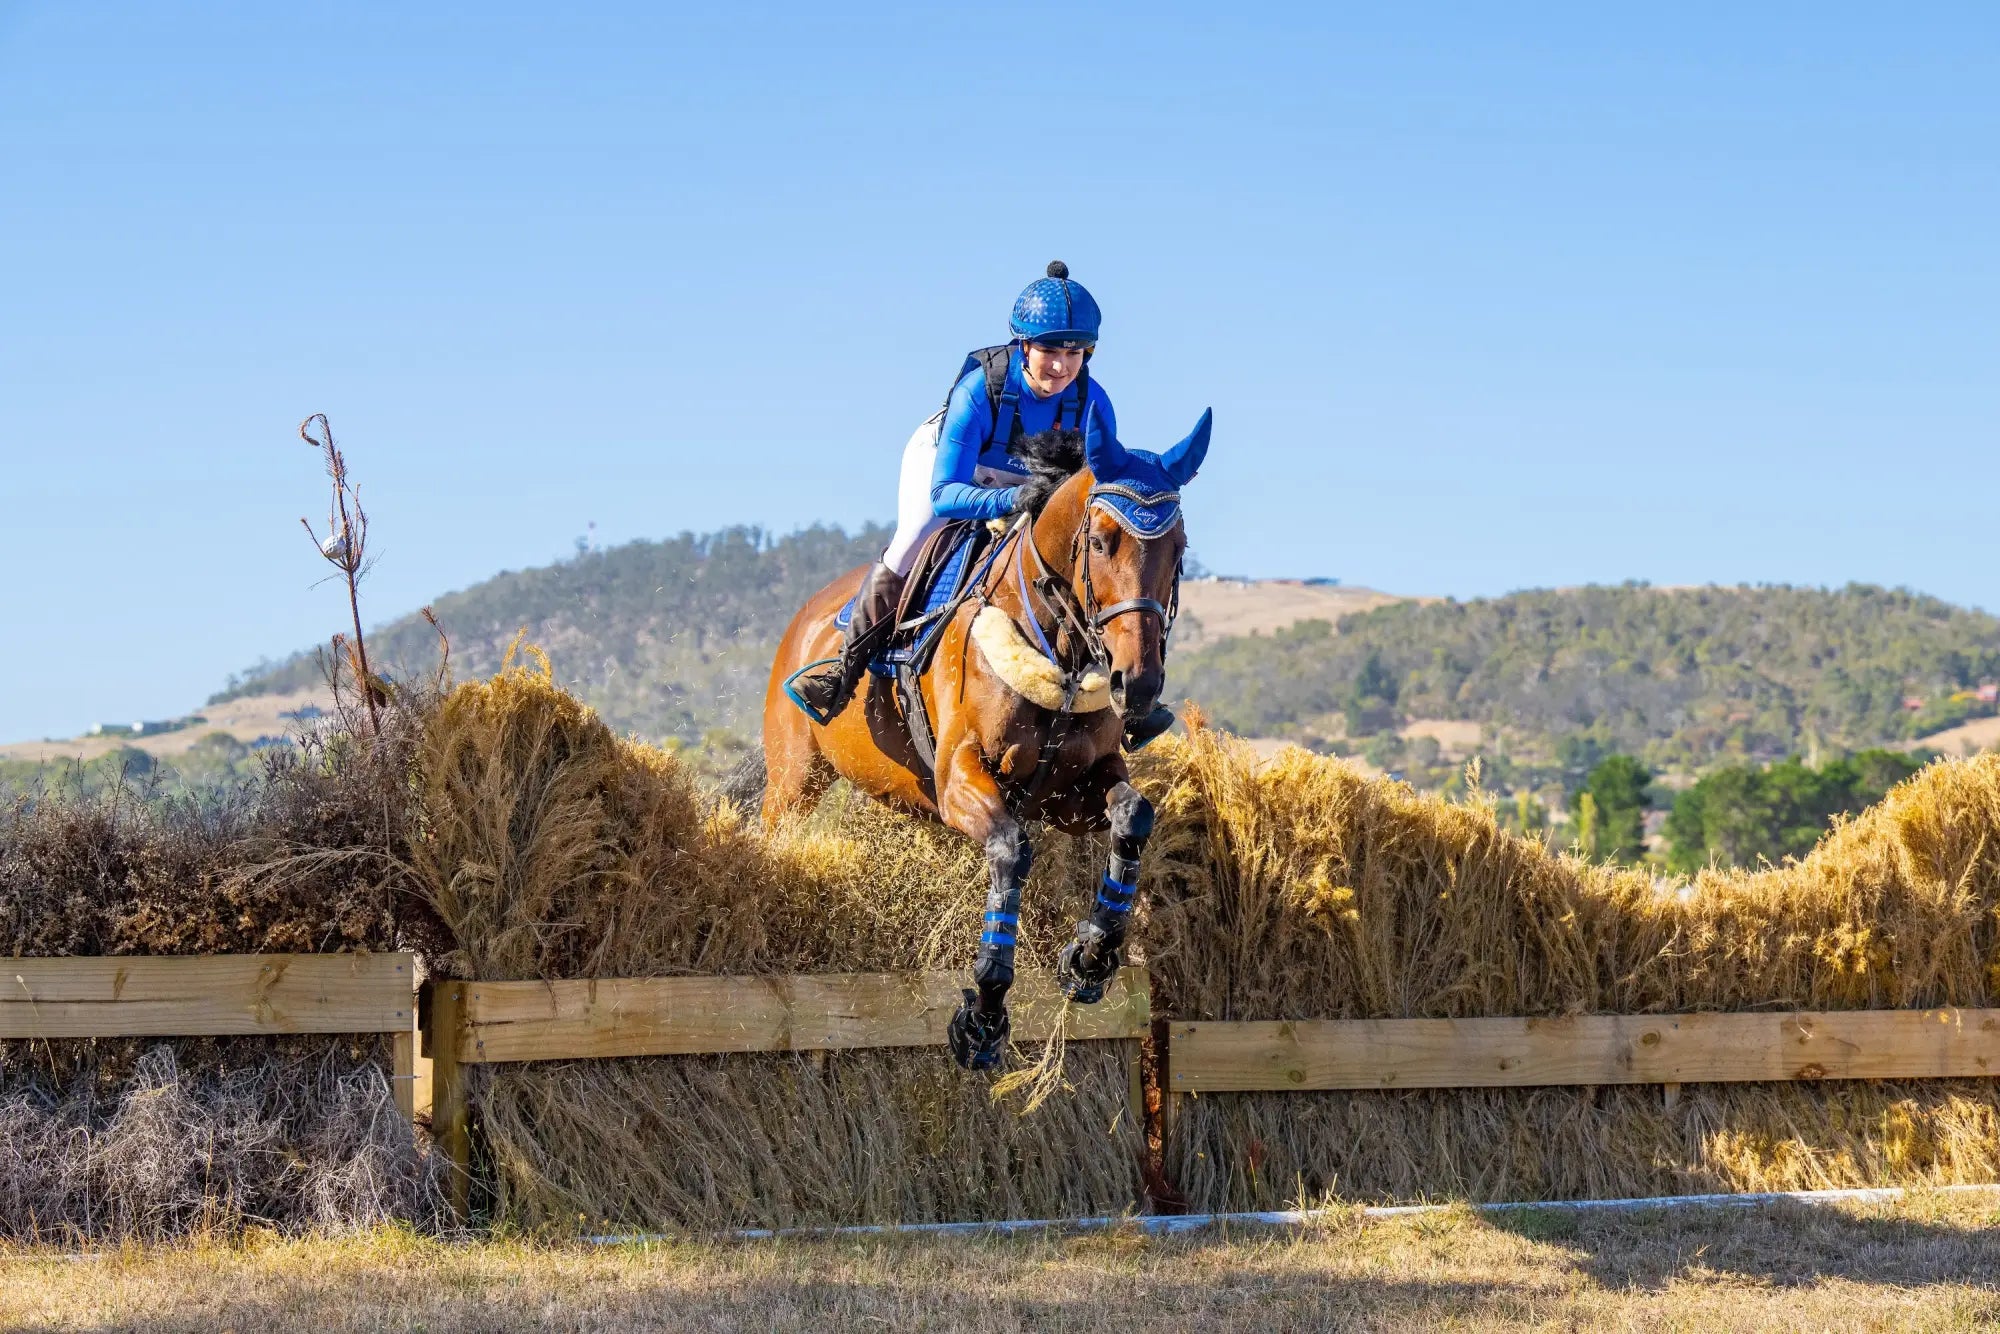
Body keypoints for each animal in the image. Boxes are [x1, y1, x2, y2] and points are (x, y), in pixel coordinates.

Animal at [752, 405, 1211, 1068]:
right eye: (1102, 541)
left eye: (1179, 549)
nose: (1138, 683)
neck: (1060, 652)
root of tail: (808, 614)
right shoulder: (962, 781)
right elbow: (1011, 851)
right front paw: (984, 1018)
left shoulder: (1071, 792)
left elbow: (1134, 817)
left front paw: (1090, 957)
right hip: (795, 777)